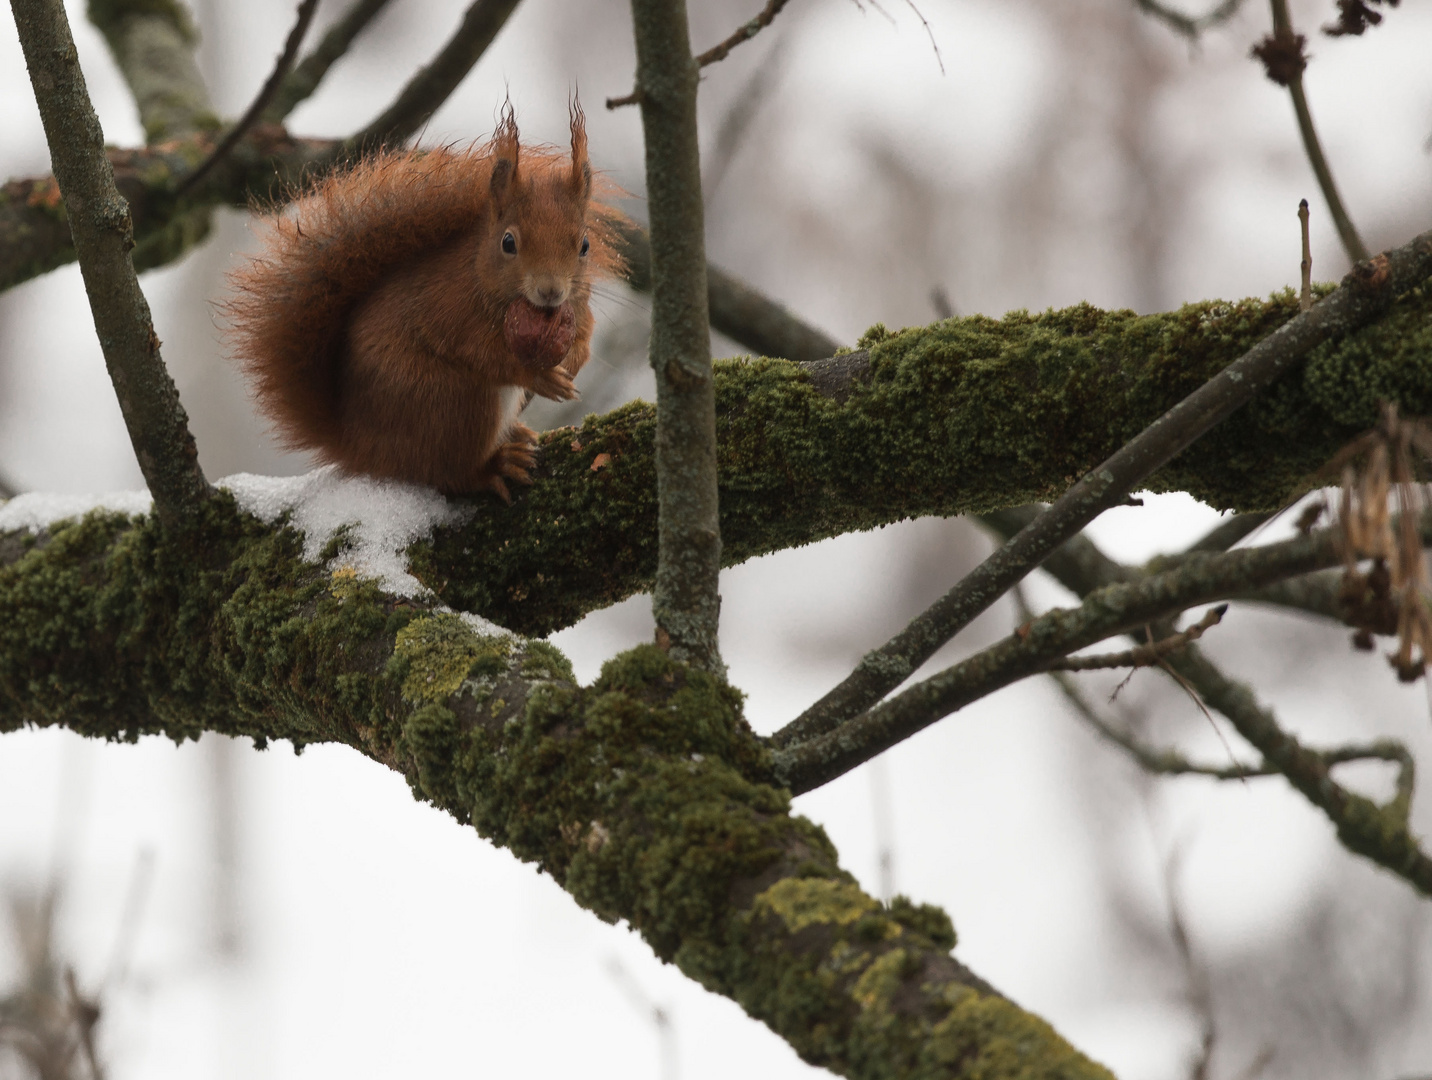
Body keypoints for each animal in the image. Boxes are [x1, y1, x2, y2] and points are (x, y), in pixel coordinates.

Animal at [227, 103, 621, 498]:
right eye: (508, 243)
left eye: (584, 245)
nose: (550, 291)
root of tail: (358, 444)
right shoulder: (450, 308)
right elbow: (481, 353)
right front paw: (538, 375)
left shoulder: (578, 305)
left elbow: (583, 333)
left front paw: (573, 356)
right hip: (452, 402)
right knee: (450, 471)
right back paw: (496, 465)